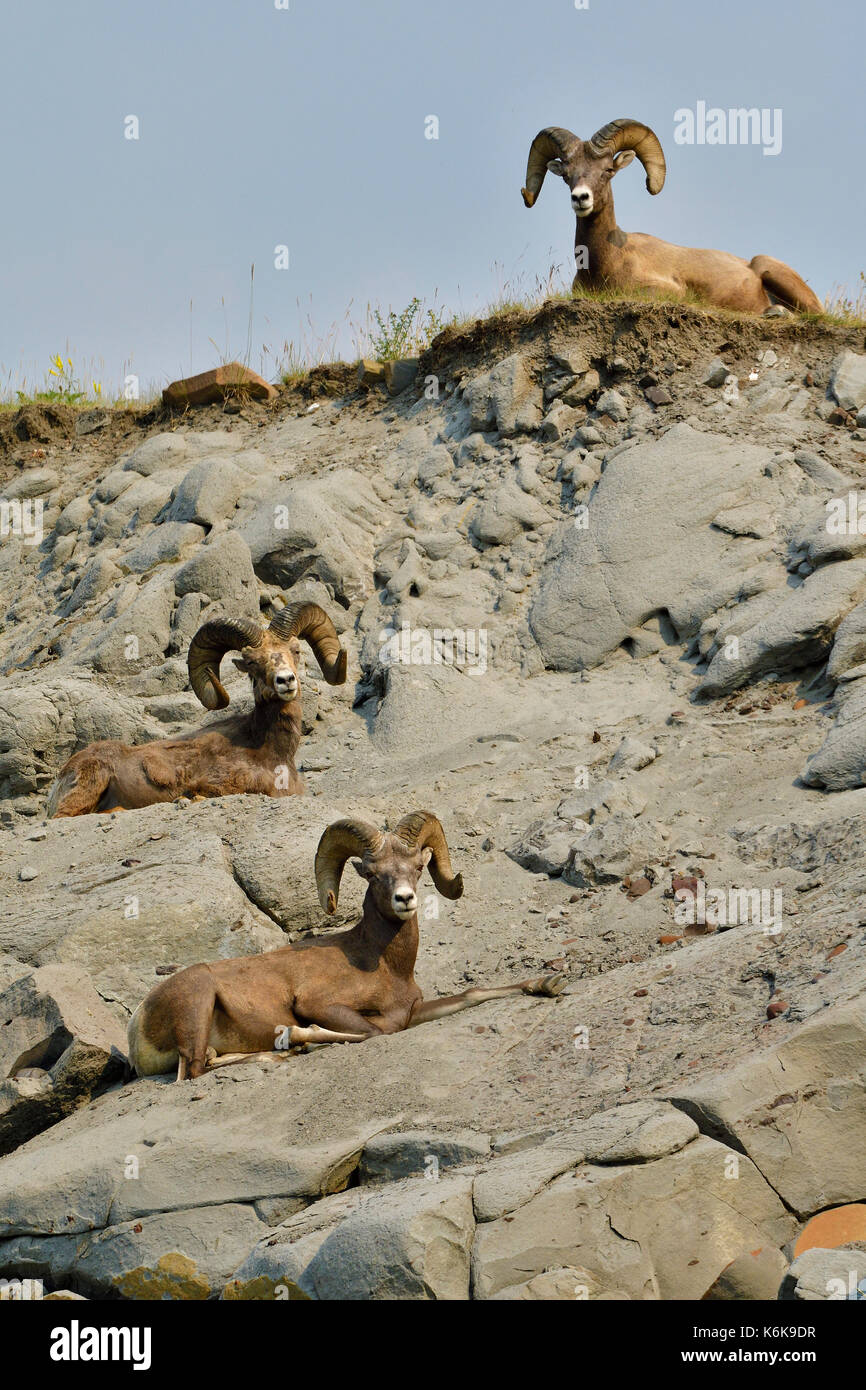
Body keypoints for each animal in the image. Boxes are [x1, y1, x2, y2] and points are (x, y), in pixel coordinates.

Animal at [46, 606, 346, 817]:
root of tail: (62, 776)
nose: (285, 680)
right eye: (251, 662)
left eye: (295, 650)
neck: (271, 753)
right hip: (92, 781)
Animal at [127, 811, 561, 1078]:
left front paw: (546, 983)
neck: (381, 965)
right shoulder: (318, 1004)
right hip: (199, 1000)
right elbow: (376, 1032)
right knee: (196, 1069)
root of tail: (138, 1024)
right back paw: (294, 1043)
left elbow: (474, 993)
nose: (405, 899)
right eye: (372, 873)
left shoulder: (413, 1011)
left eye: (417, 868)